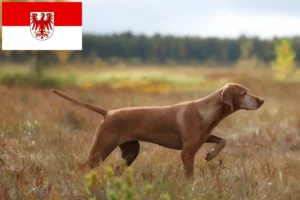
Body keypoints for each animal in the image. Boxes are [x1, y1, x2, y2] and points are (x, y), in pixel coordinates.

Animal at [51, 82, 262, 178]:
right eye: (244, 93)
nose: (261, 100)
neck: (207, 111)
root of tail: (108, 112)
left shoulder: (204, 137)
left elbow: (223, 140)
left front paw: (211, 154)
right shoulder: (187, 153)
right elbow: (189, 175)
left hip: (130, 151)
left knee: (117, 170)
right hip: (100, 150)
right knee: (80, 169)